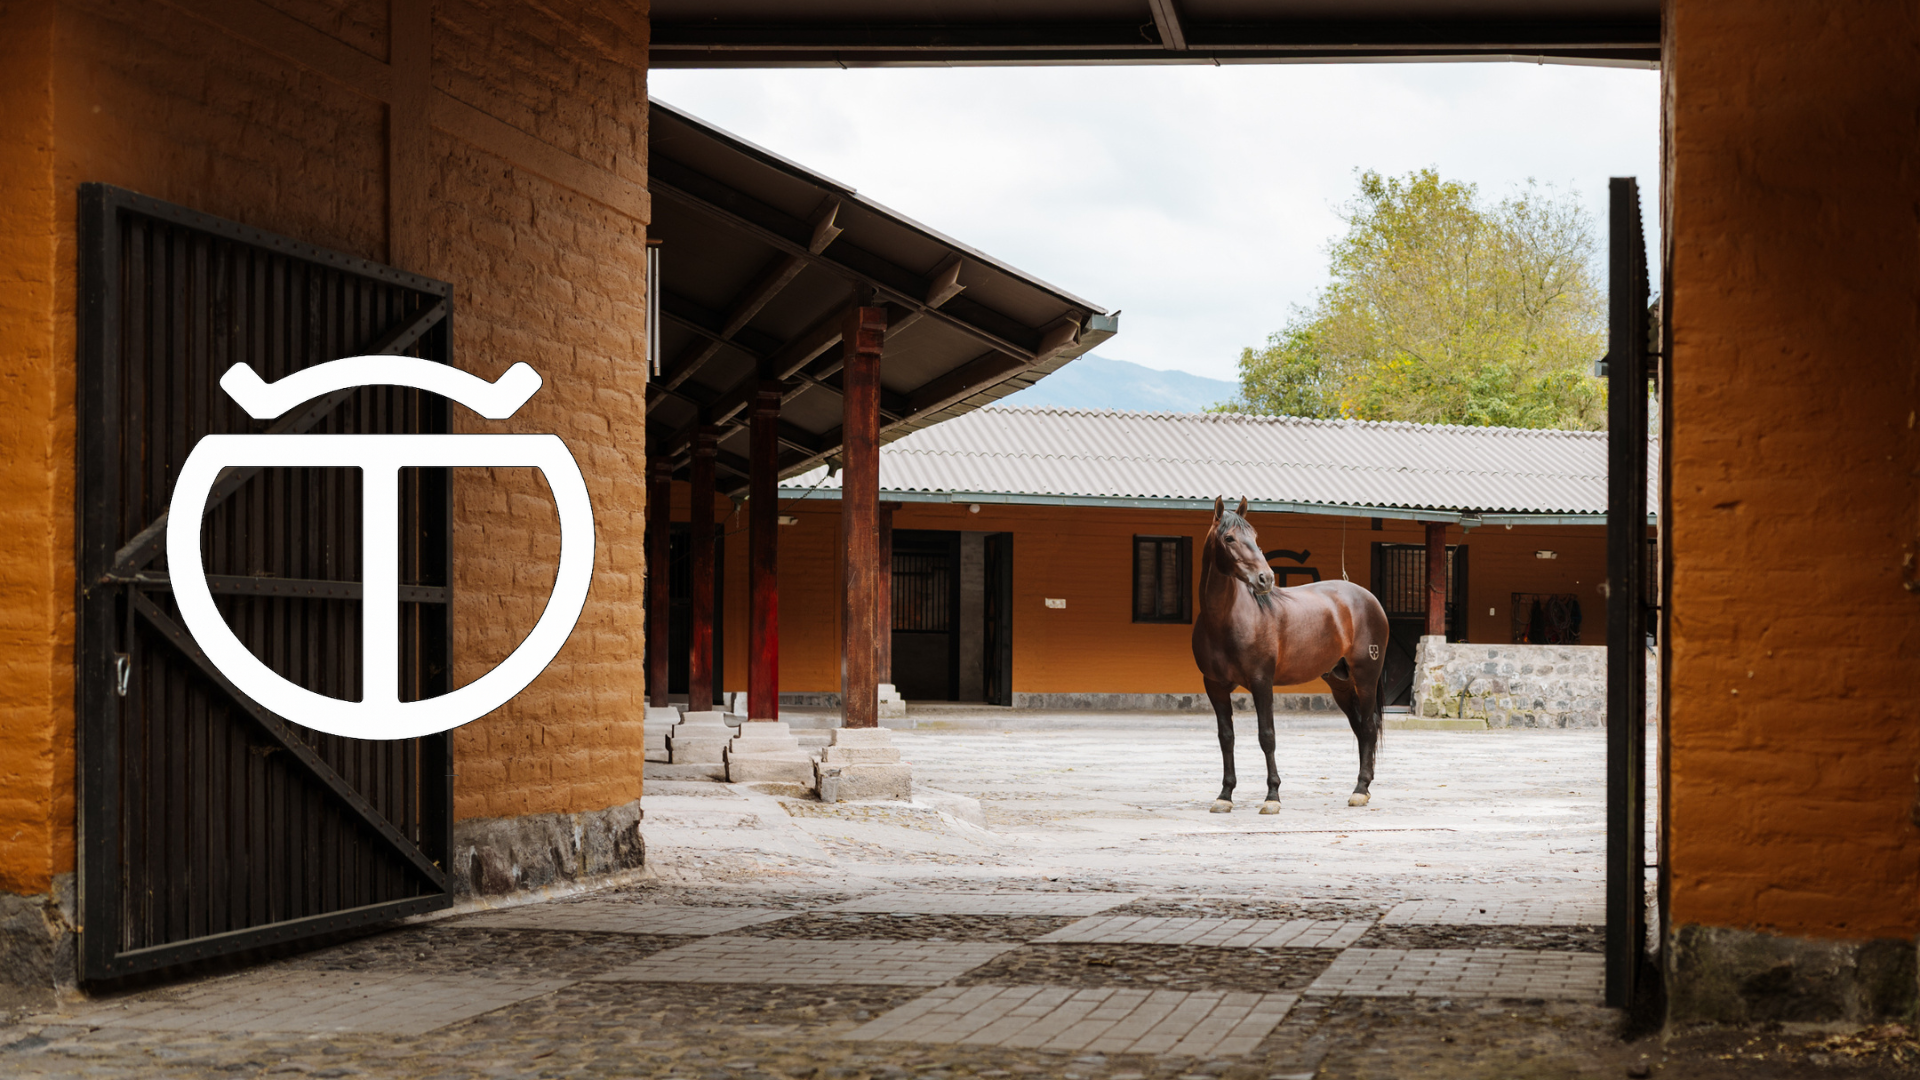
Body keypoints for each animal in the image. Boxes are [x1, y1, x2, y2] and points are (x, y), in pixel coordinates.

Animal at [1191, 497, 1392, 813]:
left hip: (1366, 678)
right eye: (1229, 538)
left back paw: (1360, 791)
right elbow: (1226, 738)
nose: (1265, 579)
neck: (1225, 619)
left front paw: (1272, 796)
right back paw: (1364, 787)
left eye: (1255, 536)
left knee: (1370, 728)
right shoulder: (1214, 686)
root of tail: (1368, 599)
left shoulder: (1261, 682)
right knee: (1361, 729)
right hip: (1341, 684)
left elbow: (1267, 736)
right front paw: (1225, 795)